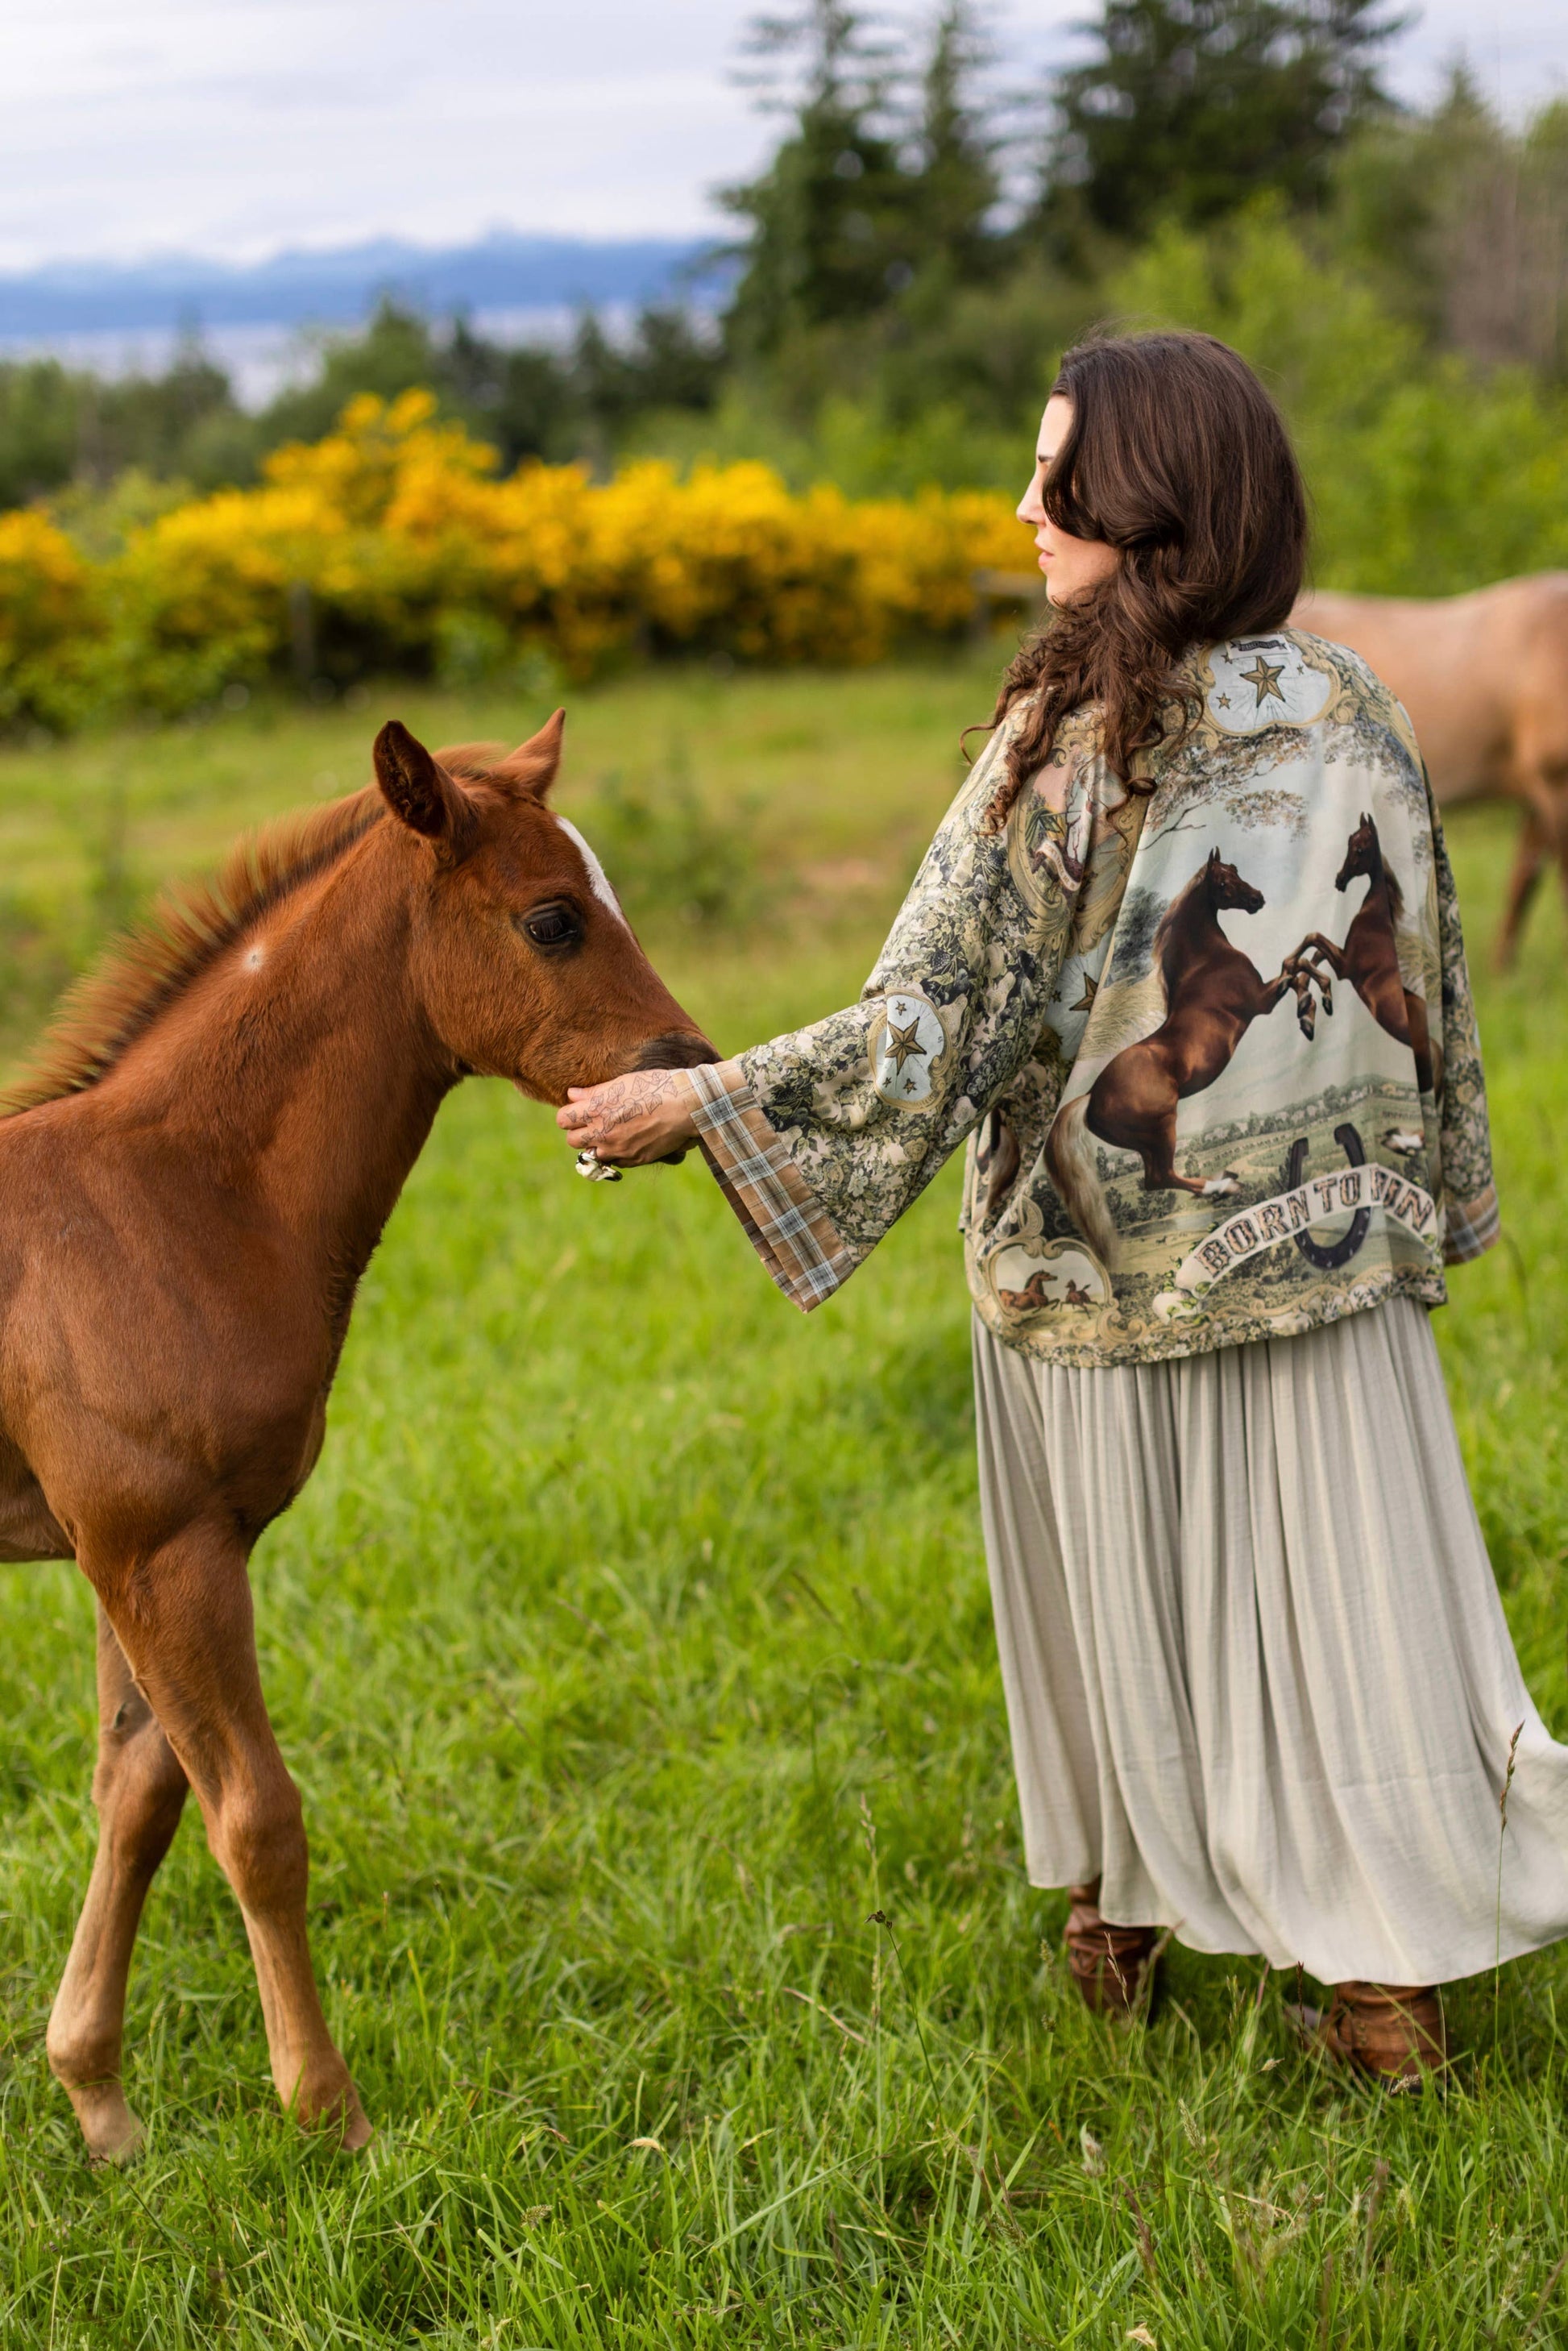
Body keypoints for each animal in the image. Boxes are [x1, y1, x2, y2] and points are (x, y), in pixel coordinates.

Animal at [0, 712, 713, 2163]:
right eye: (553, 917)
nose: (683, 1068)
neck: (169, 1198)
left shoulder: (126, 1553)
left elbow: (137, 1794)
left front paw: (99, 2101)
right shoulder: (165, 1549)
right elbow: (257, 1818)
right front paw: (331, 2118)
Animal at [1045, 850, 1302, 1265]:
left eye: (1236, 871)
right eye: (1223, 882)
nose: (1258, 899)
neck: (1207, 964)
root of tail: (1089, 1099)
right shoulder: (1263, 1000)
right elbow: (1299, 963)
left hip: (1146, 1142)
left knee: (1154, 1180)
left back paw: (1224, 1184)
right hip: (1163, 1128)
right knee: (1161, 1177)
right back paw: (1222, 1188)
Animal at [1288, 813, 1441, 1099]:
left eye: (1359, 849)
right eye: (1349, 841)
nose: (1339, 880)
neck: (1375, 919)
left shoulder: (1345, 966)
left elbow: (1312, 941)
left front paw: (1304, 986)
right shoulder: (1342, 957)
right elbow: (1316, 954)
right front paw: (1309, 1005)